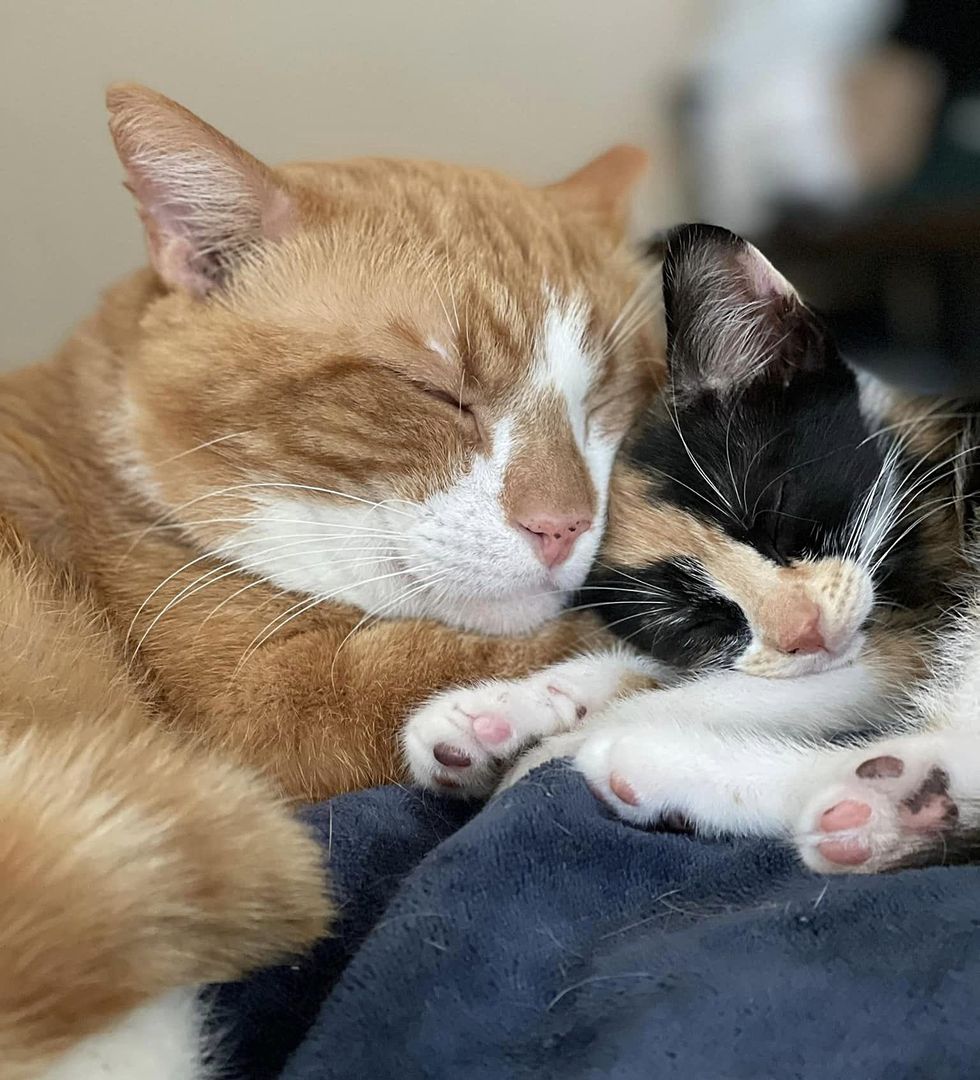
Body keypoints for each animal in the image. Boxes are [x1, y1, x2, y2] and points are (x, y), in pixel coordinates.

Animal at [401, 227, 976, 876]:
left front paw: (545, 748)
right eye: (701, 622)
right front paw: (505, 712)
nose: (807, 631)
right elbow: (685, 671)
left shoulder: (921, 617)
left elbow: (755, 691)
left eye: (776, 517)